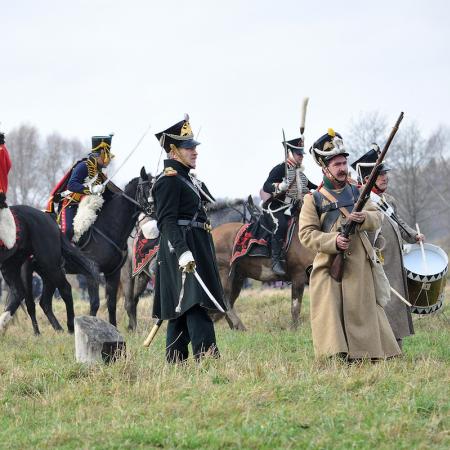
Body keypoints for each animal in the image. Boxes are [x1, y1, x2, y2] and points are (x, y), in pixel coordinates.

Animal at [0, 206, 98, 336]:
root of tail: (49, 218)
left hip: (49, 265)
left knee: (64, 289)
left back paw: (69, 328)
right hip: (22, 267)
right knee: (29, 298)